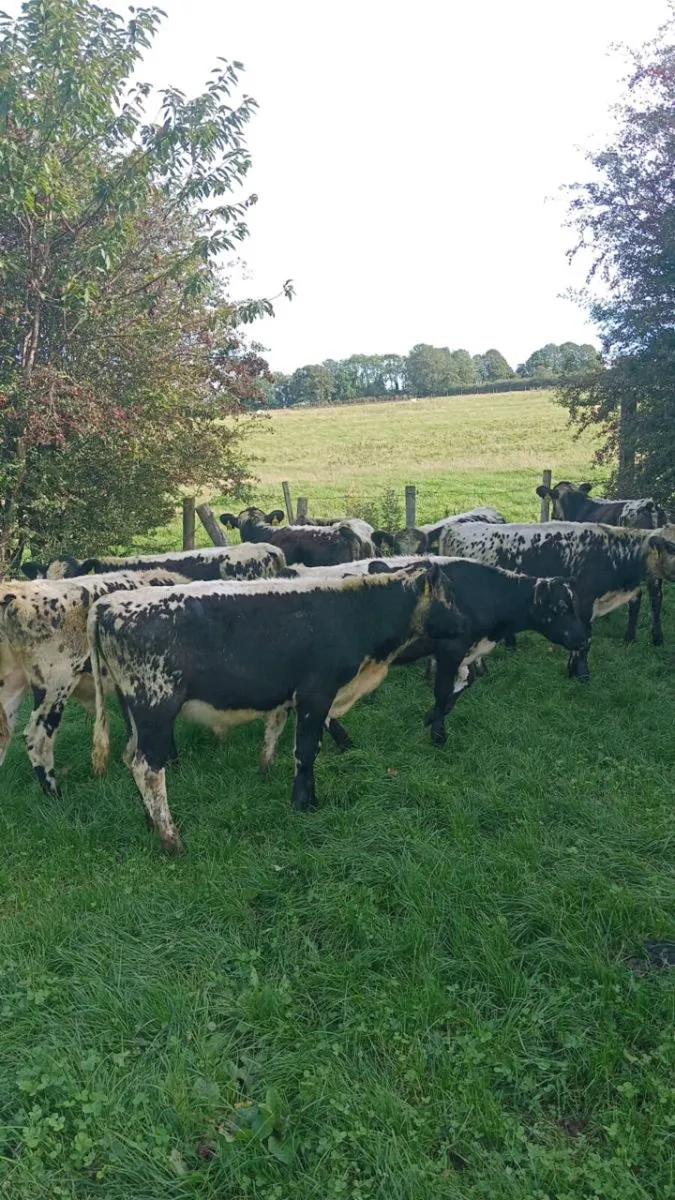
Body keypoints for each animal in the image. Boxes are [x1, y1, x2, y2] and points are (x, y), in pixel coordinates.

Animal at [87, 565, 471, 853]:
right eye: (449, 597)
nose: (468, 623)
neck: (351, 612)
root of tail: (108, 604)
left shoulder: (285, 696)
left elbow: (273, 736)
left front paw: (266, 774)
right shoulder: (316, 694)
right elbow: (306, 751)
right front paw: (305, 802)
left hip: (134, 713)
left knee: (130, 757)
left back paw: (150, 821)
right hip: (155, 706)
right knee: (148, 767)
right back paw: (170, 838)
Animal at [437, 521, 675, 680]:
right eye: (671, 547)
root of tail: (454, 528)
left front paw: (572, 670)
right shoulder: (585, 602)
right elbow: (586, 639)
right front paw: (582, 675)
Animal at [535, 479, 668, 645]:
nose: (554, 515)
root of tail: (649, 505)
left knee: (636, 599)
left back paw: (629, 637)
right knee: (656, 598)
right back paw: (657, 638)